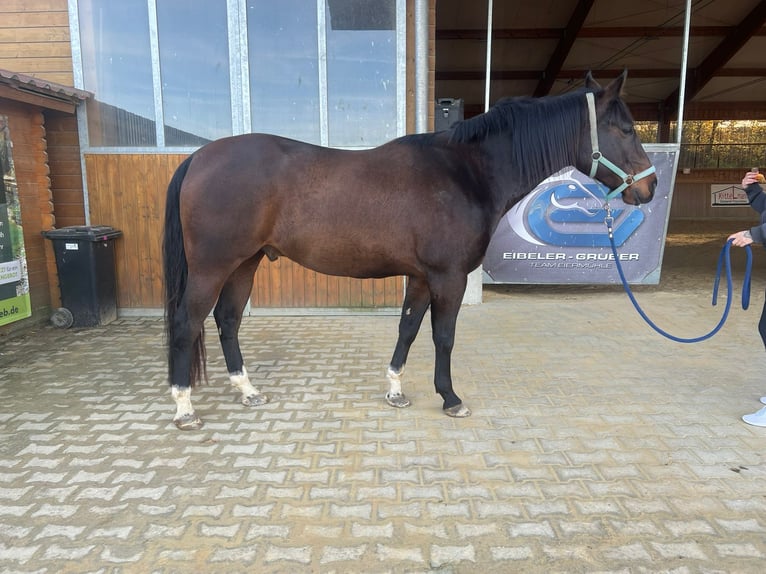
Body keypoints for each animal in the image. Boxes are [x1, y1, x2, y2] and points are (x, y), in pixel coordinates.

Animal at [163, 71, 657, 430]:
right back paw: (185, 408)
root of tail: (199, 157)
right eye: (627, 128)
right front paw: (451, 398)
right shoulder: (448, 277)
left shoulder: (421, 276)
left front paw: (396, 390)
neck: (466, 171)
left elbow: (408, 329)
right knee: (188, 322)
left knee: (227, 320)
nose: (650, 188)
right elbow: (444, 336)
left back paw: (247, 392)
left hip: (244, 263)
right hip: (213, 266)